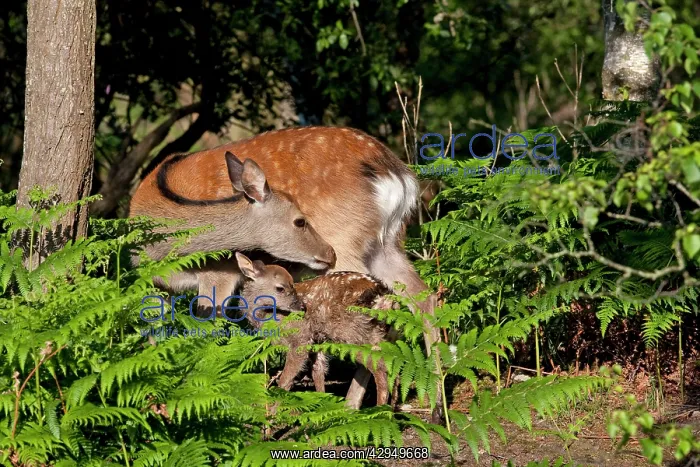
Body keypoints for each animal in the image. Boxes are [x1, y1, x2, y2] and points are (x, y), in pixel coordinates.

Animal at [235, 252, 394, 406]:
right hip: (374, 332)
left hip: (352, 333)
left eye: (291, 285)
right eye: (280, 288)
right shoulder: (317, 341)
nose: (302, 307)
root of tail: (382, 294)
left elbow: (285, 380)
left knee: (379, 366)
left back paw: (381, 408)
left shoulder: (300, 338)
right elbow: (318, 372)